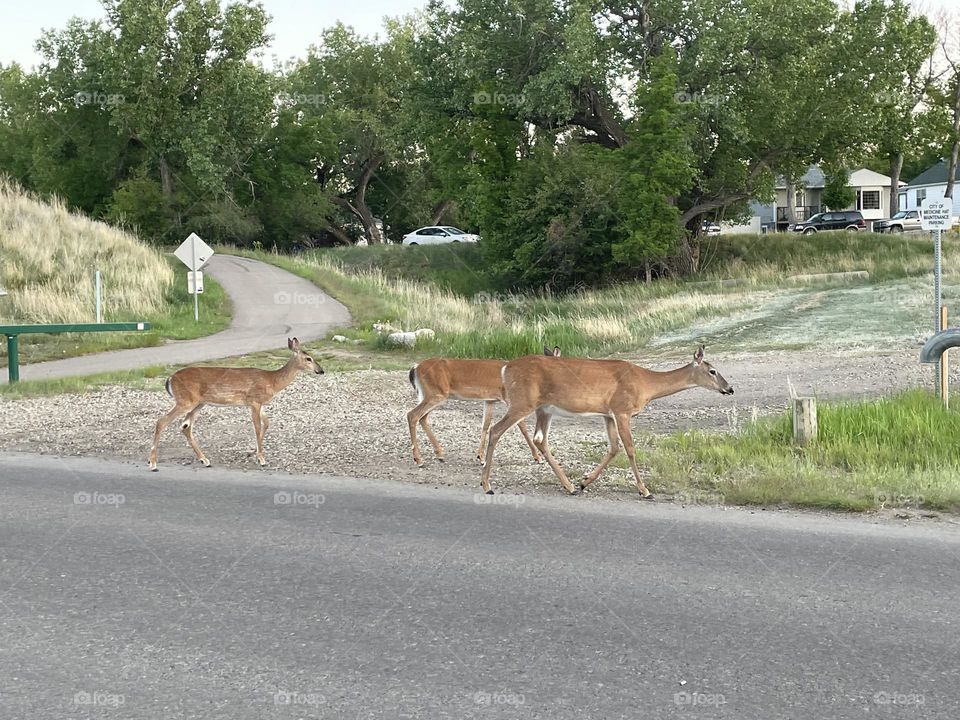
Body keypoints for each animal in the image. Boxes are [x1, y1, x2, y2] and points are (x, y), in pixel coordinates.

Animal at [148, 338, 324, 471]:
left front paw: (253, 453)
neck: (272, 381)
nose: (321, 370)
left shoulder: (259, 404)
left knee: (185, 427)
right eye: (309, 358)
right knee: (162, 421)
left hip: (198, 403)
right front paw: (261, 459)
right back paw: (153, 464)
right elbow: (257, 427)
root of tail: (169, 379)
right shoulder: (254, 401)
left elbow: (266, 424)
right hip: (185, 401)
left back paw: (205, 460)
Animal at [407, 346, 561, 467]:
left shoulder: (490, 400)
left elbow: (485, 424)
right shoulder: (509, 399)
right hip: (435, 394)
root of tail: (415, 368)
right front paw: (537, 457)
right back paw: (419, 459)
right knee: (412, 415)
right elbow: (522, 426)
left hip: (431, 395)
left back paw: (439, 454)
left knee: (422, 417)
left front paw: (480, 457)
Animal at [479, 346, 734, 498]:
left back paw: (570, 486)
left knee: (540, 439)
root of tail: (505, 368)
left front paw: (584, 482)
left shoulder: (608, 414)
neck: (646, 384)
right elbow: (630, 448)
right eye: (712, 371)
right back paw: (487, 485)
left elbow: (613, 448)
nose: (729, 388)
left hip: (544, 408)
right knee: (496, 430)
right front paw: (645, 490)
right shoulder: (622, 410)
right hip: (523, 402)